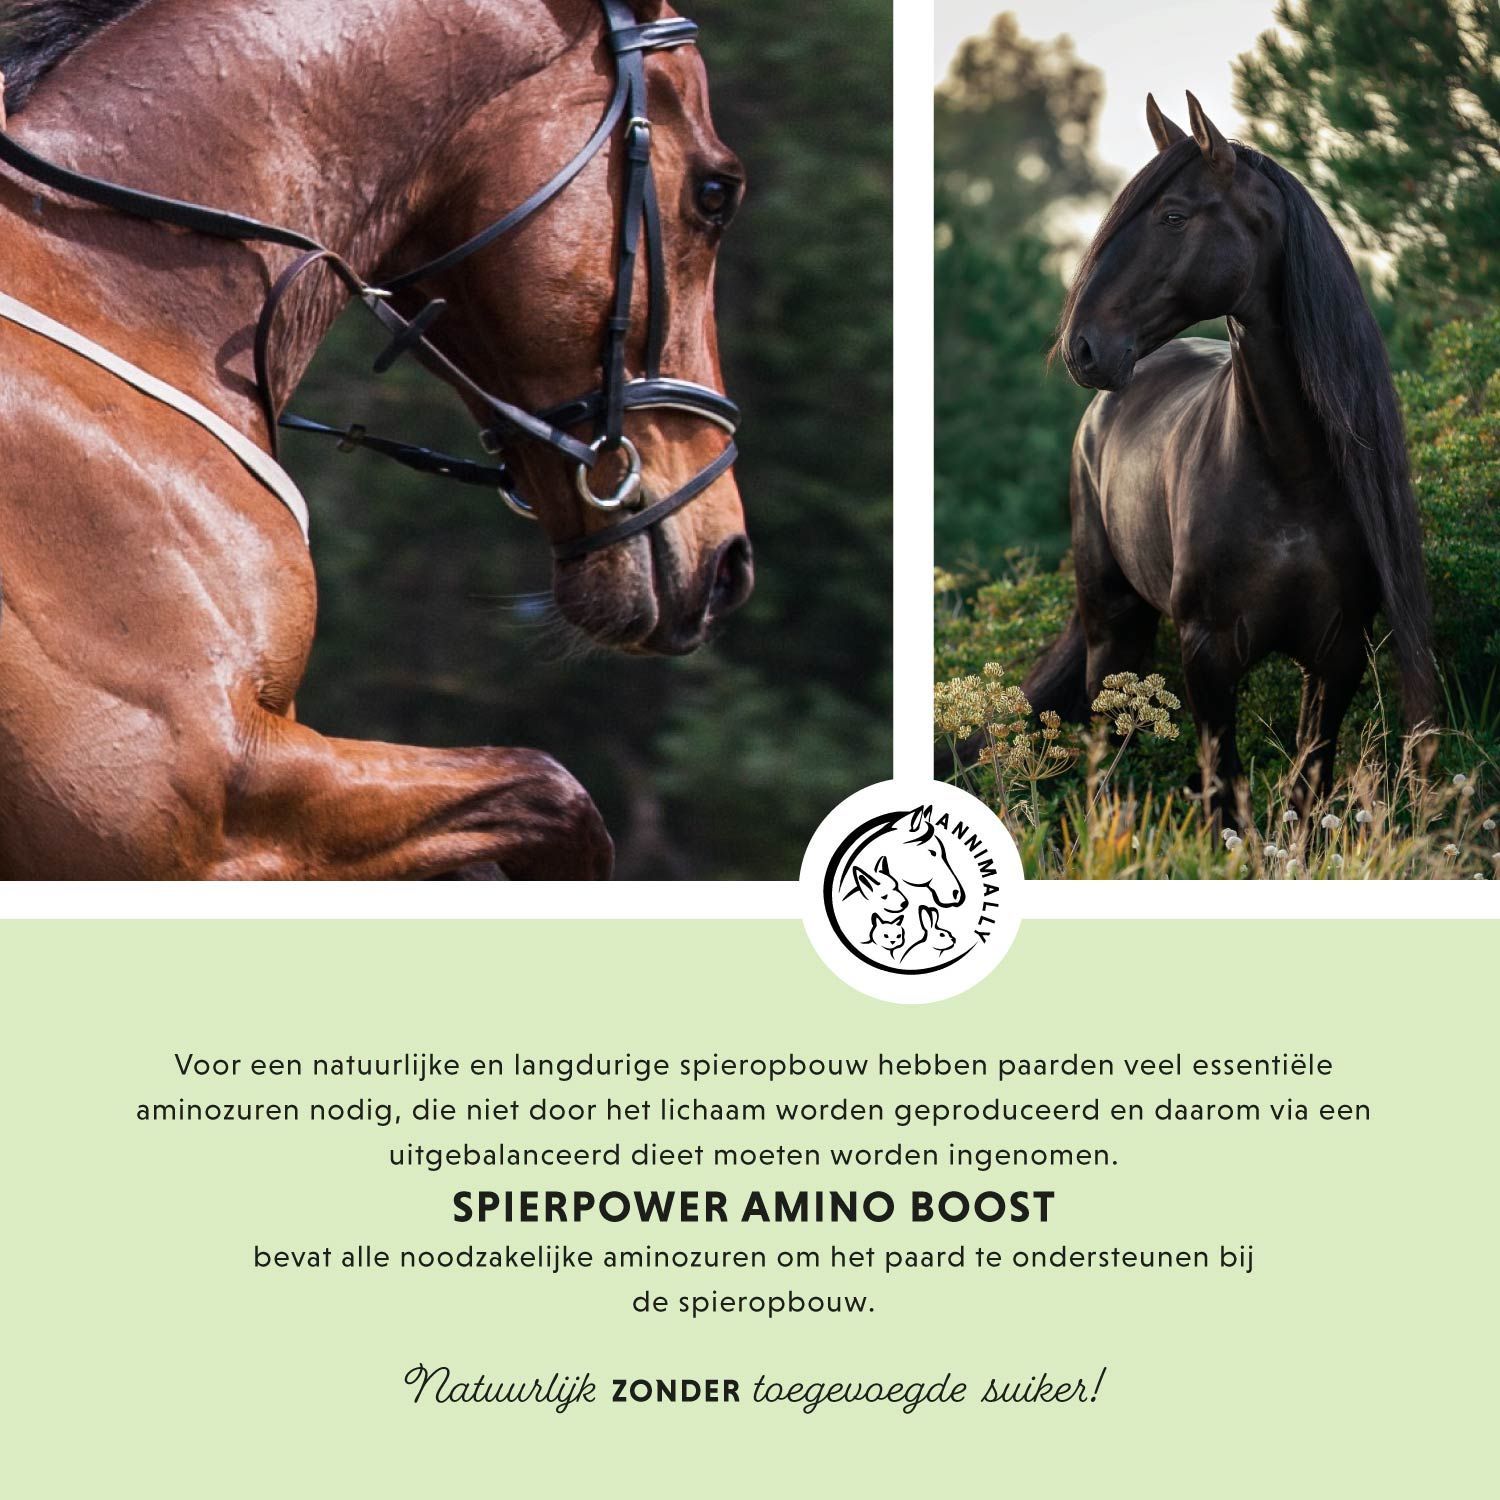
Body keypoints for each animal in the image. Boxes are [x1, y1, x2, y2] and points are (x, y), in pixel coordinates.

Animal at [1025, 92, 1434, 814]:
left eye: (1174, 215)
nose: (1083, 348)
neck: (1291, 474)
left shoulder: (1337, 655)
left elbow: (1306, 789)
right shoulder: (1208, 655)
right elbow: (1224, 795)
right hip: (1113, 626)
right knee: (1107, 755)